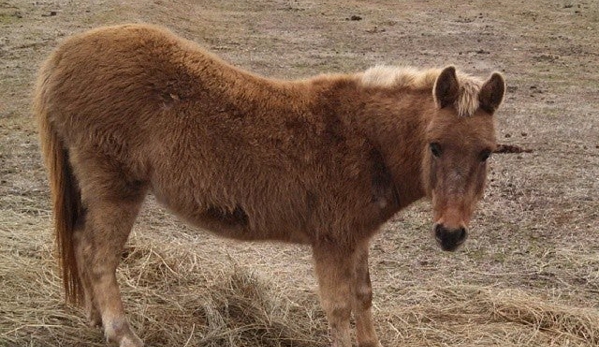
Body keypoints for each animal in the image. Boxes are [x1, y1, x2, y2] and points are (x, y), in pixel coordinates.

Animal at [34, 23, 506, 347]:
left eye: (486, 152)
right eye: (435, 146)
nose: (450, 234)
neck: (365, 140)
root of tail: (63, 55)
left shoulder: (356, 238)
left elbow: (364, 296)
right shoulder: (332, 241)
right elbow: (339, 309)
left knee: (82, 243)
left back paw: (96, 320)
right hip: (116, 188)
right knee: (99, 257)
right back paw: (122, 333)